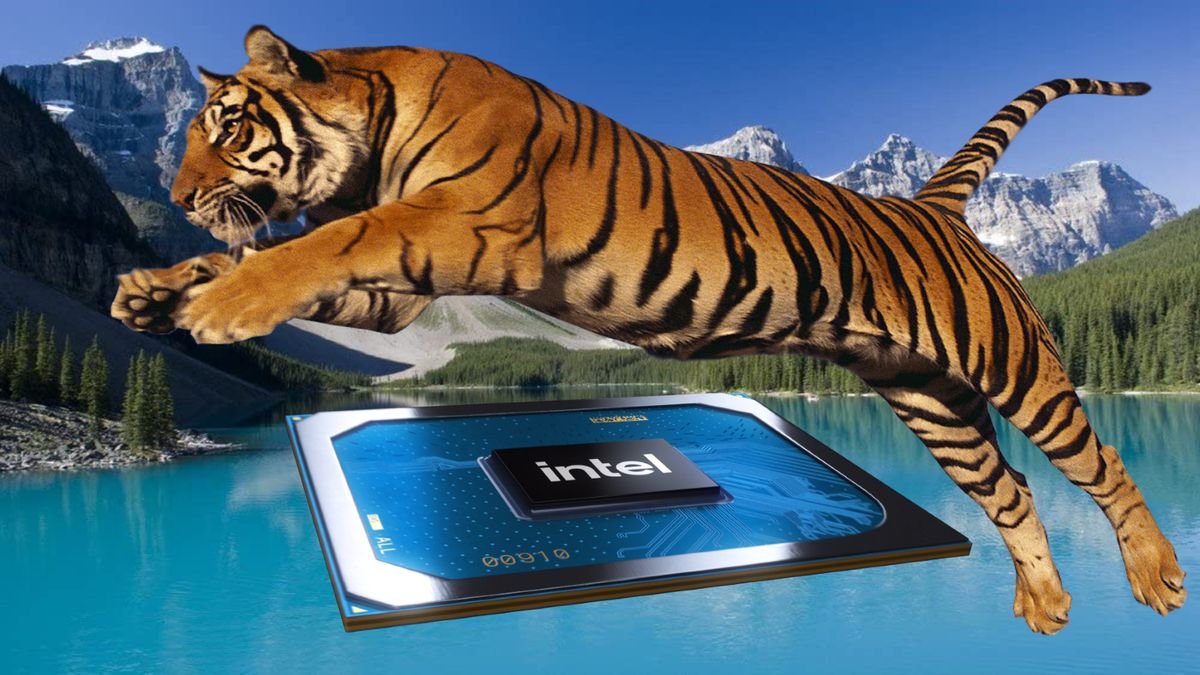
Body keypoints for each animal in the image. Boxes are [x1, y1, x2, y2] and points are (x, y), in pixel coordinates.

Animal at [110, 25, 1185, 633]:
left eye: (227, 127)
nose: (181, 195)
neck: (374, 131)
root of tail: (933, 206)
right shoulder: (398, 292)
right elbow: (284, 259)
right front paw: (155, 290)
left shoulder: (455, 223)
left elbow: (325, 241)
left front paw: (218, 304)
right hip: (931, 400)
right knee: (1010, 491)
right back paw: (1045, 605)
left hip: (1014, 366)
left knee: (1101, 463)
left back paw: (1157, 576)